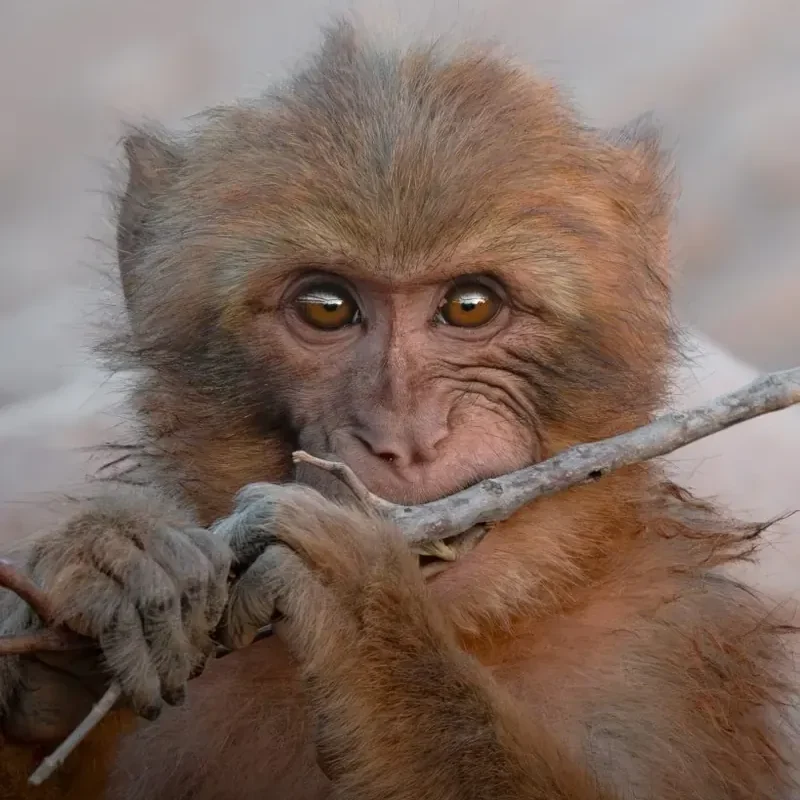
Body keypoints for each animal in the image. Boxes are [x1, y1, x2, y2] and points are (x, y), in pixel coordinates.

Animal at [0, 19, 796, 800]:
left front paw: (363, 607)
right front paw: (102, 569)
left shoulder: (678, 651)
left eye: (470, 306)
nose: (406, 437)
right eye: (326, 307)